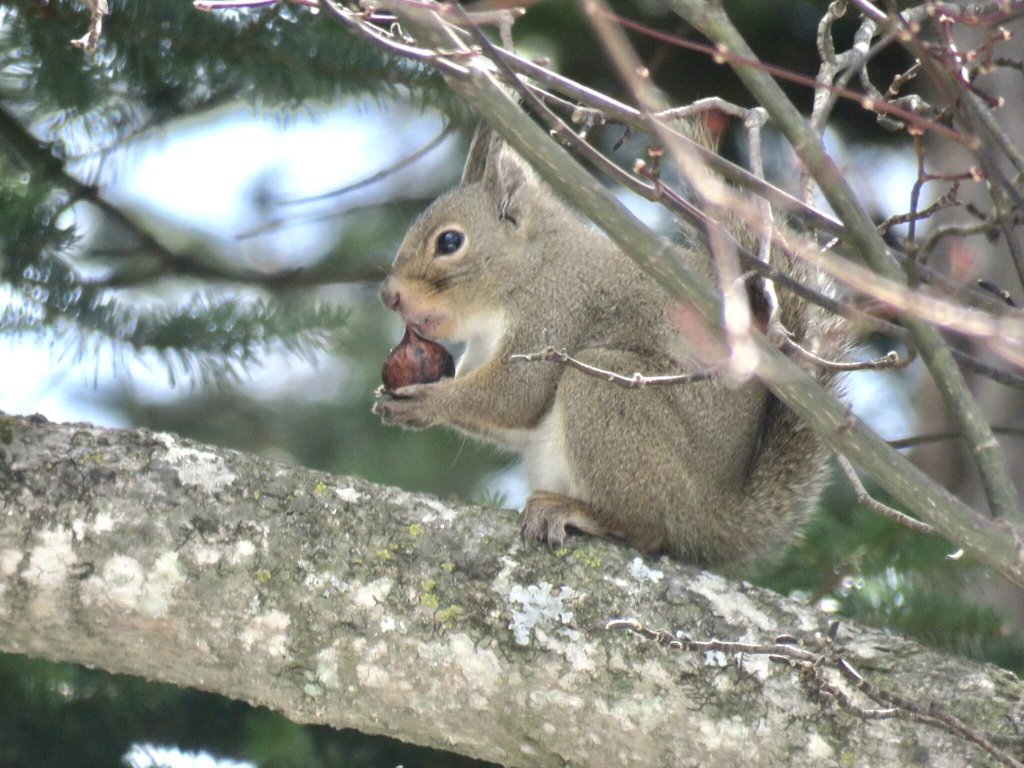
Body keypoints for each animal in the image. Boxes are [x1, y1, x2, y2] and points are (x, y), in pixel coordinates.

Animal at [372, 123, 851, 573]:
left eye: (450, 242)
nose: (388, 296)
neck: (528, 269)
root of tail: (712, 516)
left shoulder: (555, 310)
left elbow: (517, 395)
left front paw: (427, 402)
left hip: (605, 393)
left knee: (648, 530)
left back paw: (573, 511)